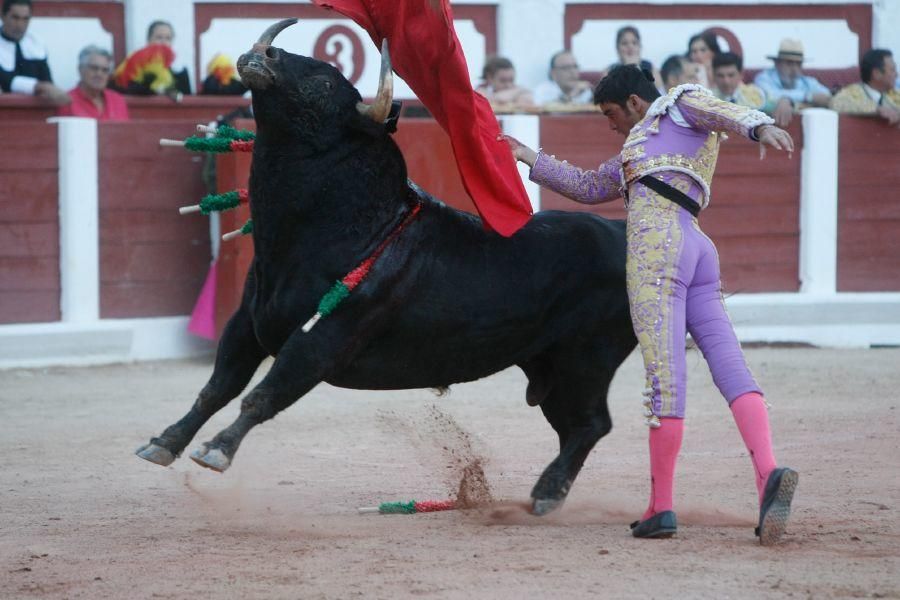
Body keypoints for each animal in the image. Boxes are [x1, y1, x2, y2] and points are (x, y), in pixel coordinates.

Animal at [137, 19, 636, 516]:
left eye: (324, 83)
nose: (266, 55)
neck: (344, 225)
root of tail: (618, 232)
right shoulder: (248, 322)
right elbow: (219, 385)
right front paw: (163, 443)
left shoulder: (322, 340)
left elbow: (262, 395)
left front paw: (216, 450)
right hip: (547, 366)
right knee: (575, 426)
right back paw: (547, 491)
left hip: (586, 360)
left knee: (592, 423)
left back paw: (547, 492)